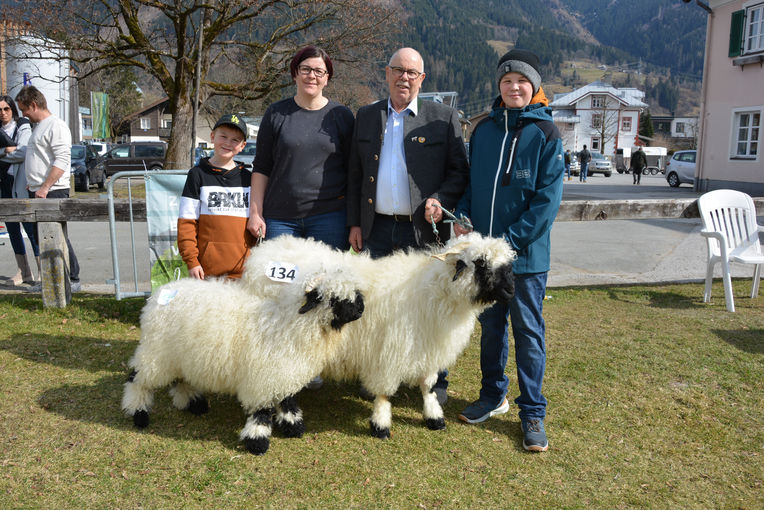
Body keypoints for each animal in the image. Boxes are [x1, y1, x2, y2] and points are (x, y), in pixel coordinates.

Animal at [121, 270, 364, 454]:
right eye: (335, 299)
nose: (361, 309)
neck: (288, 326)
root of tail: (160, 292)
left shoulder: (283, 372)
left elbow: (287, 401)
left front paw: (293, 426)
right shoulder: (261, 380)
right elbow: (261, 413)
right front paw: (257, 442)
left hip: (180, 354)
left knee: (181, 379)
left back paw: (194, 403)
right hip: (156, 353)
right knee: (137, 379)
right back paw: (138, 413)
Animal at [243, 234, 520, 438]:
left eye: (507, 264)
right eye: (481, 262)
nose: (511, 290)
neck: (432, 292)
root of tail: (266, 249)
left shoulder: (428, 347)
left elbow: (428, 386)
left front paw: (434, 417)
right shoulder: (391, 350)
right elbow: (385, 392)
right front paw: (381, 424)